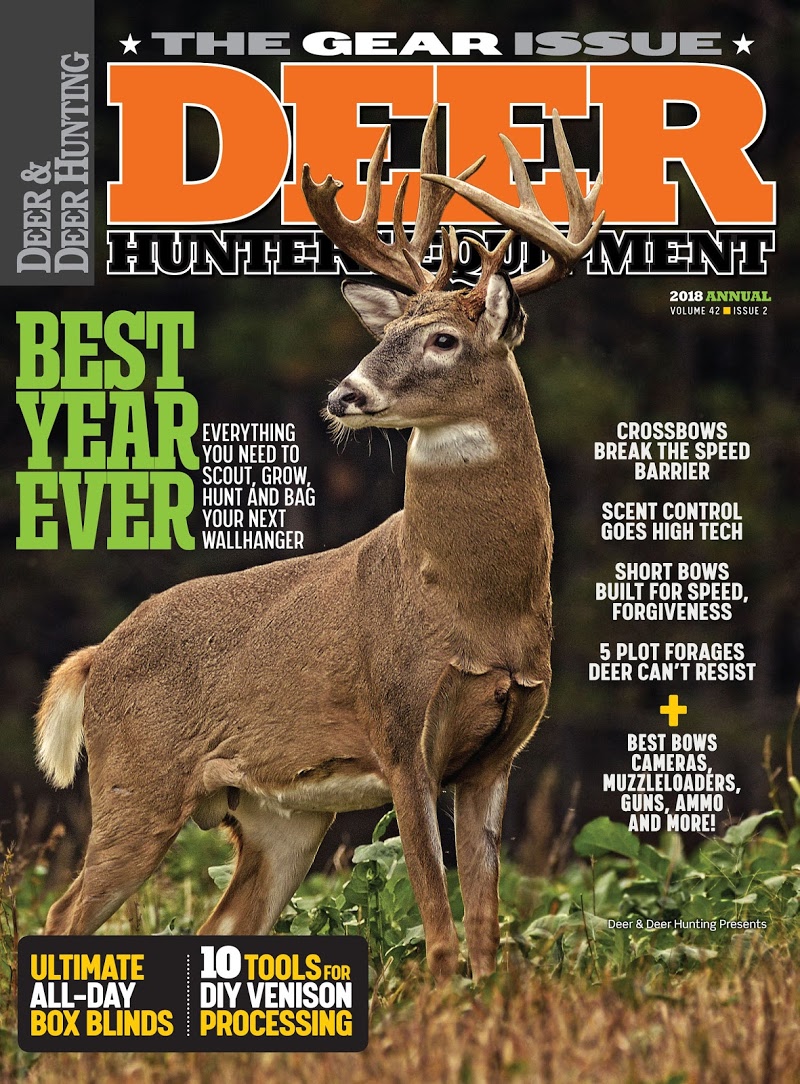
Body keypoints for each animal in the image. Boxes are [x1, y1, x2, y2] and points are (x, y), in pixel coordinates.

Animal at [35, 106, 602, 982]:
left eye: (443, 340)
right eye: (390, 331)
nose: (345, 394)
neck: (472, 602)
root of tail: (97, 656)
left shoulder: (498, 752)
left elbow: (486, 930)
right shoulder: (398, 727)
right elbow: (438, 924)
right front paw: (441, 1001)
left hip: (277, 816)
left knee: (223, 921)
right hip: (137, 782)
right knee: (63, 916)